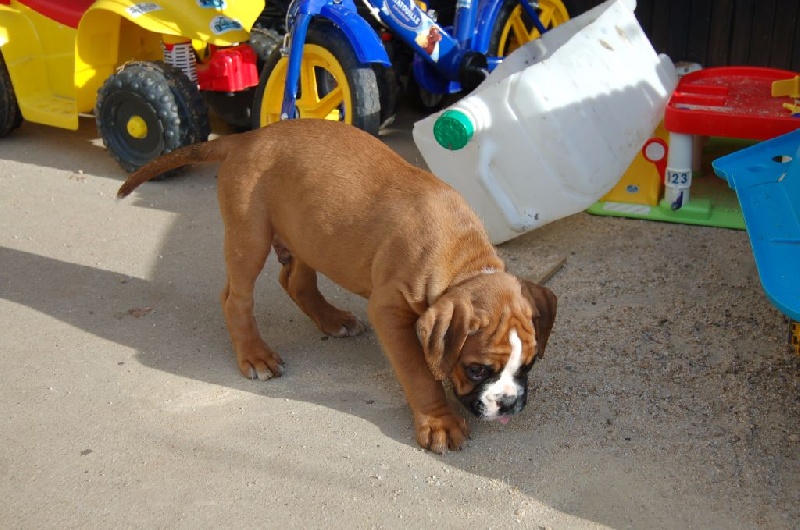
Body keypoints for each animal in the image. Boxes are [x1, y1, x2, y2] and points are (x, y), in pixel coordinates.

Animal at [118, 119, 557, 453]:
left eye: (529, 365)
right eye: (477, 368)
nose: (508, 404)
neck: (462, 263)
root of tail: (247, 138)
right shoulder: (389, 311)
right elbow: (419, 372)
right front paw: (439, 422)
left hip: (308, 232)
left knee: (294, 280)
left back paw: (331, 320)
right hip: (250, 237)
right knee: (235, 298)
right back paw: (255, 355)